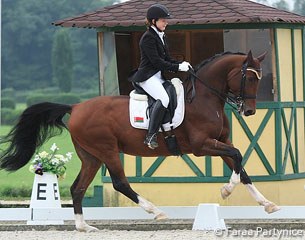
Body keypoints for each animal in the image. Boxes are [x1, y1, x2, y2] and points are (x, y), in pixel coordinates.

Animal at [0, 49, 278, 232]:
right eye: (249, 78)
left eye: (260, 77)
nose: (249, 111)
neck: (204, 98)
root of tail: (75, 106)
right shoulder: (202, 146)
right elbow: (238, 156)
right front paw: (226, 190)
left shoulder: (220, 142)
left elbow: (240, 166)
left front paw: (268, 204)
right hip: (107, 150)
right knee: (120, 183)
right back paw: (156, 211)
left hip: (91, 155)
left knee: (78, 187)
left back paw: (84, 227)